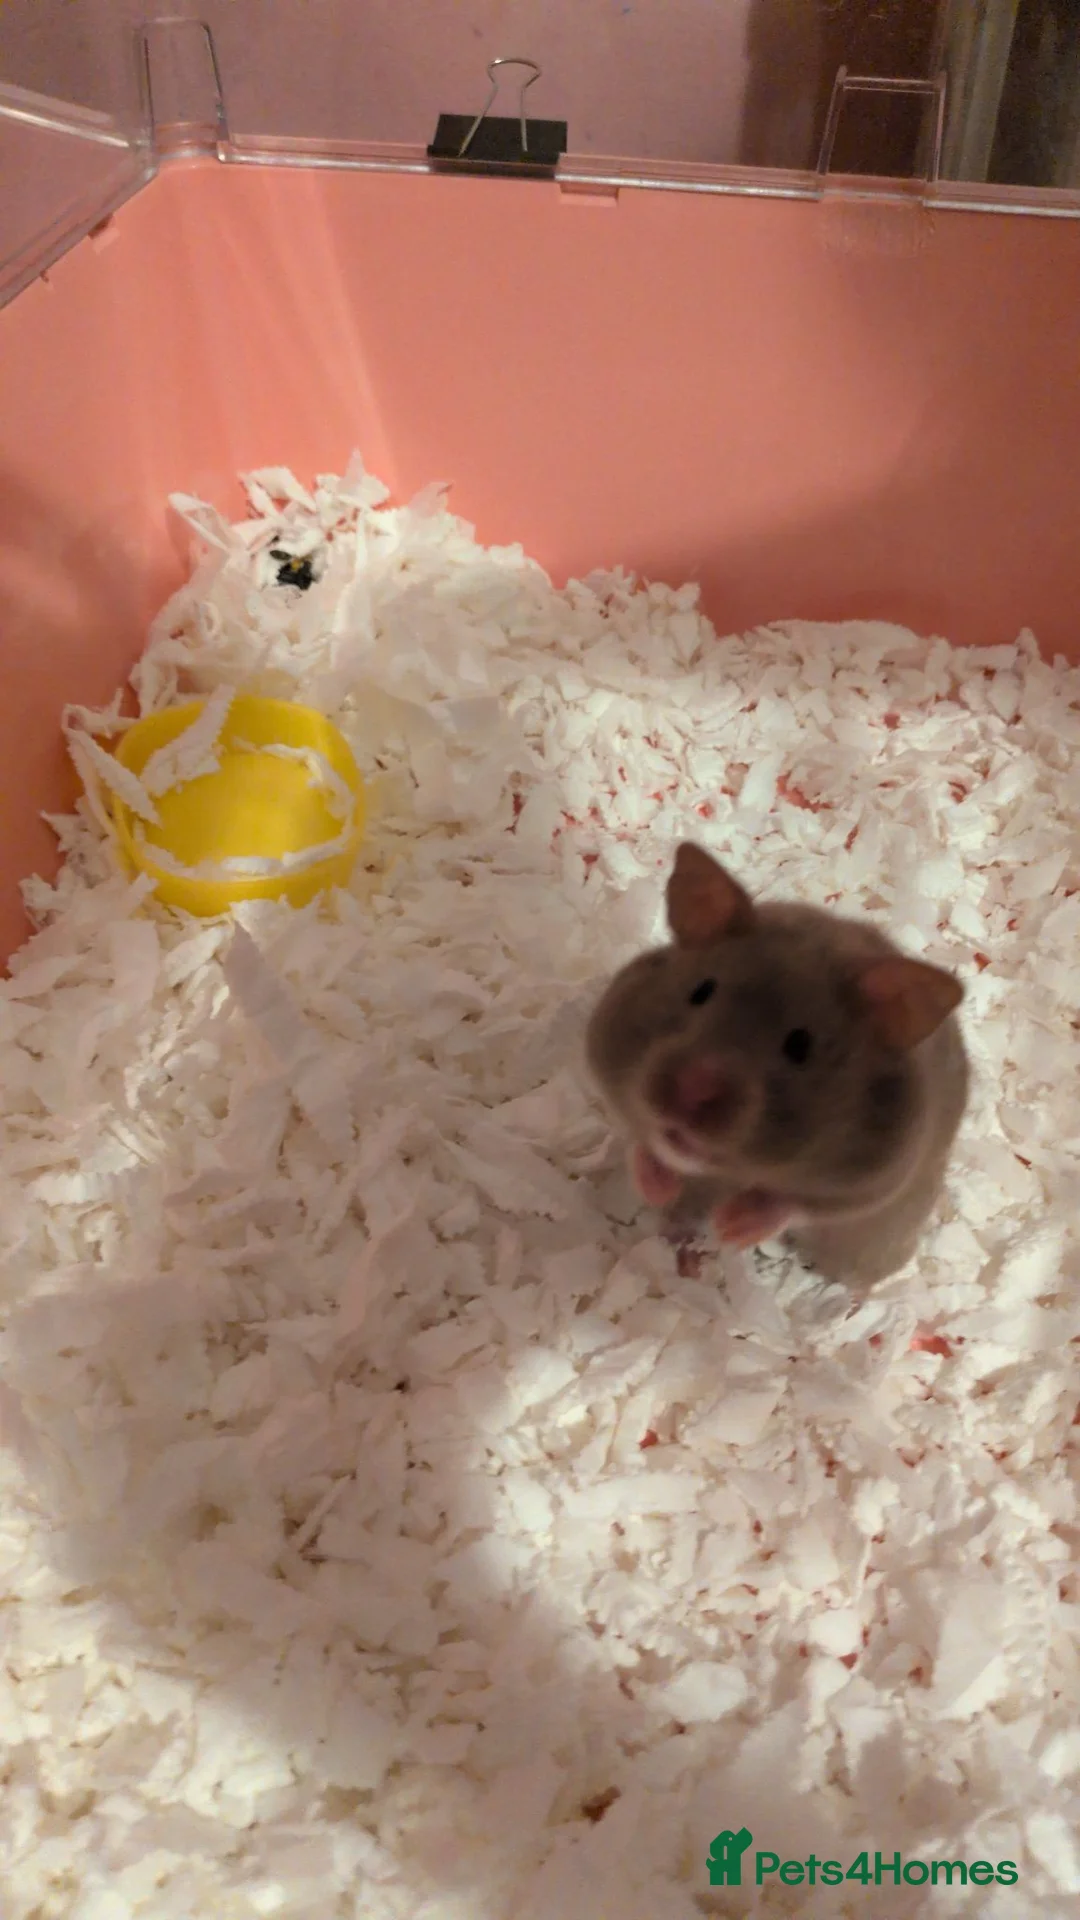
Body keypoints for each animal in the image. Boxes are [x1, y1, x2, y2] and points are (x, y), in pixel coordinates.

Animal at [585, 843, 969, 1290]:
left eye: (800, 1046)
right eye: (701, 992)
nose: (690, 1094)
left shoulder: (869, 1181)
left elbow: (788, 1202)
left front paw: (732, 1225)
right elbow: (638, 1141)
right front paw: (658, 1188)